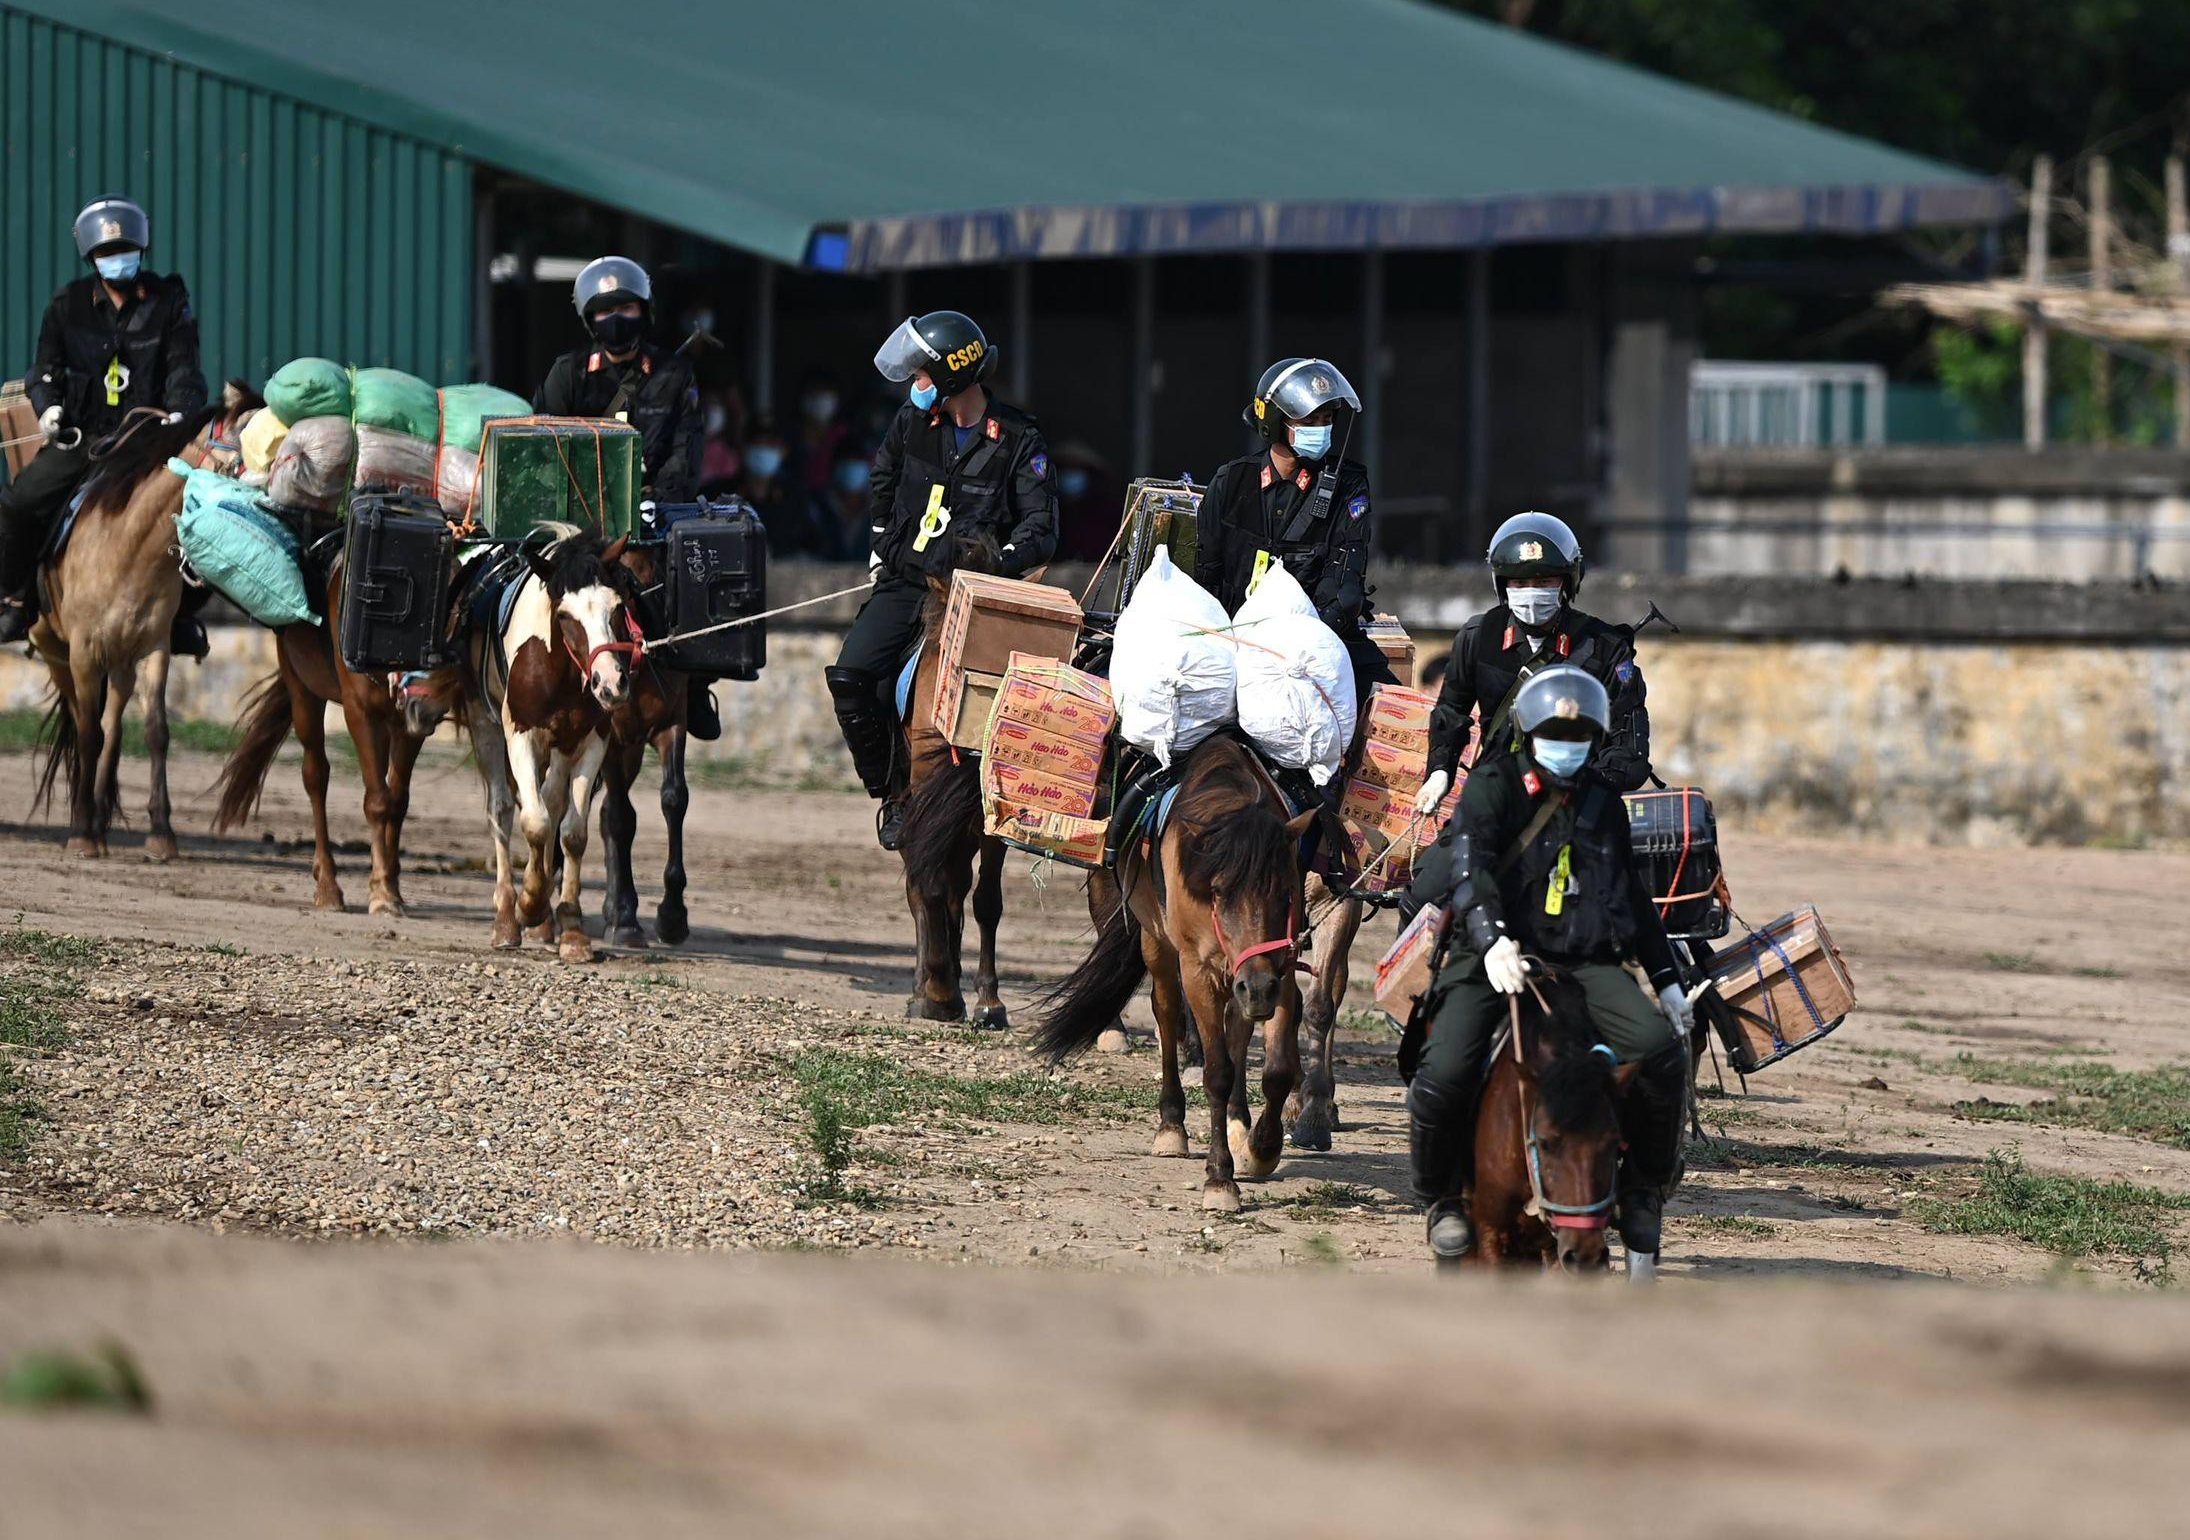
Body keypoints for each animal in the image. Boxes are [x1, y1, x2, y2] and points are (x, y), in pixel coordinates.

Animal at [31, 392, 255, 863]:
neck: (130, 547)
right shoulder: (83, 652)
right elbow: (87, 734)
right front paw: (80, 834)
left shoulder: (154, 648)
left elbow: (155, 732)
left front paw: (161, 834)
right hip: (58, 651)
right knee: (85, 724)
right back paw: (87, 821)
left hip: (120, 662)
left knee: (113, 726)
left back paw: (100, 819)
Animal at [457, 530, 639, 963]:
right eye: (566, 617)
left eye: (617, 607)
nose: (611, 683)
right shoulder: (521, 735)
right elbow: (535, 822)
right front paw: (530, 903)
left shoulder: (592, 741)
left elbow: (572, 832)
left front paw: (572, 929)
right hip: (485, 724)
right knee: (503, 809)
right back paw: (508, 916)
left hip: (562, 747)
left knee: (552, 801)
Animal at [1029, 736, 1314, 1217]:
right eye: (1217, 891)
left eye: (1287, 891)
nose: (1258, 989)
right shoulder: (1197, 970)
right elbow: (1216, 1071)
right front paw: (1220, 1179)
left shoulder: (1281, 966)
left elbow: (1277, 1069)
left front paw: (1262, 1149)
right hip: (1158, 944)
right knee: (1165, 1014)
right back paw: (1172, 1127)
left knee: (1237, 1032)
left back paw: (1239, 1123)